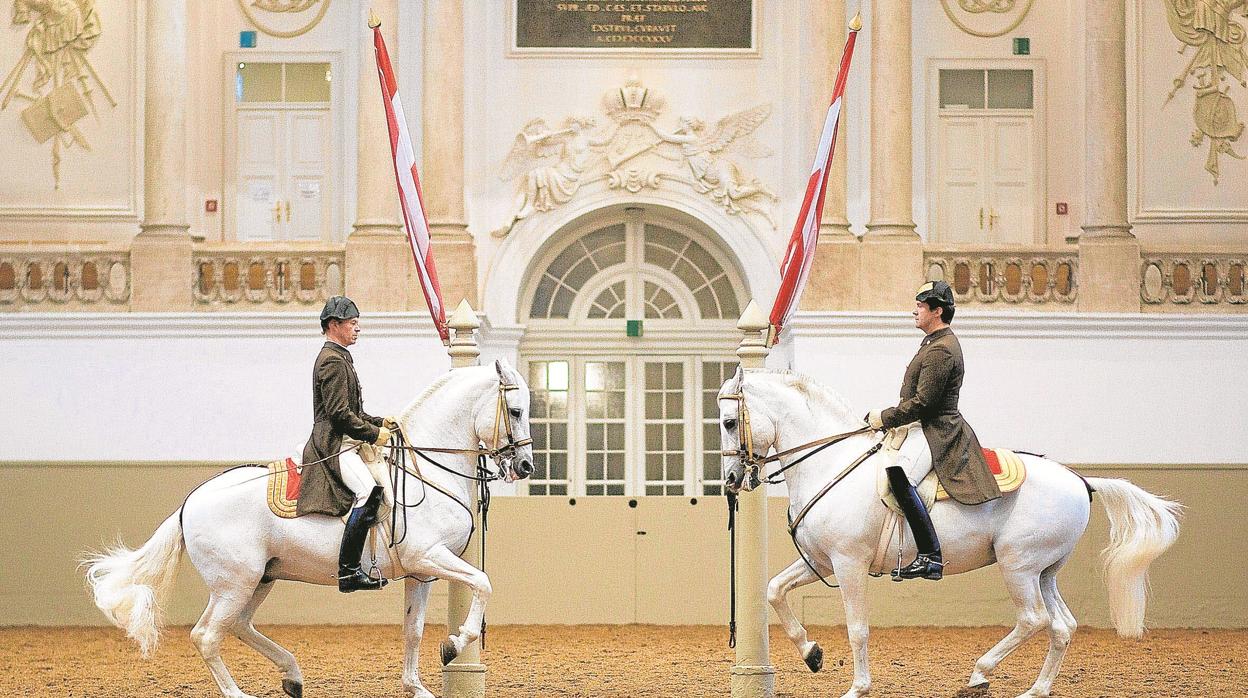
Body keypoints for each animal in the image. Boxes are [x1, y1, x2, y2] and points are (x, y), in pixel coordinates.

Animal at [82, 359, 531, 698]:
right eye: (515, 411)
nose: (525, 466)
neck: (424, 469)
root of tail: (190, 502)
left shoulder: (420, 572)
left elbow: (413, 630)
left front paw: (418, 685)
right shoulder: (430, 556)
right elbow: (483, 583)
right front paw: (455, 644)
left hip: (258, 579)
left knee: (238, 626)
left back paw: (292, 675)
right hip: (235, 582)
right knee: (208, 635)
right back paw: (243, 693)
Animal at [718, 369, 1183, 694]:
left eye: (727, 422)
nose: (731, 480)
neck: (830, 464)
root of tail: (1081, 480)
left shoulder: (848, 564)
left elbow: (857, 628)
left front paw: (857, 688)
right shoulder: (821, 561)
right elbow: (774, 590)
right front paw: (811, 654)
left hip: (1018, 566)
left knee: (1033, 619)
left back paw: (980, 674)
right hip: (1044, 571)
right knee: (1061, 626)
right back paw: (1035, 690)